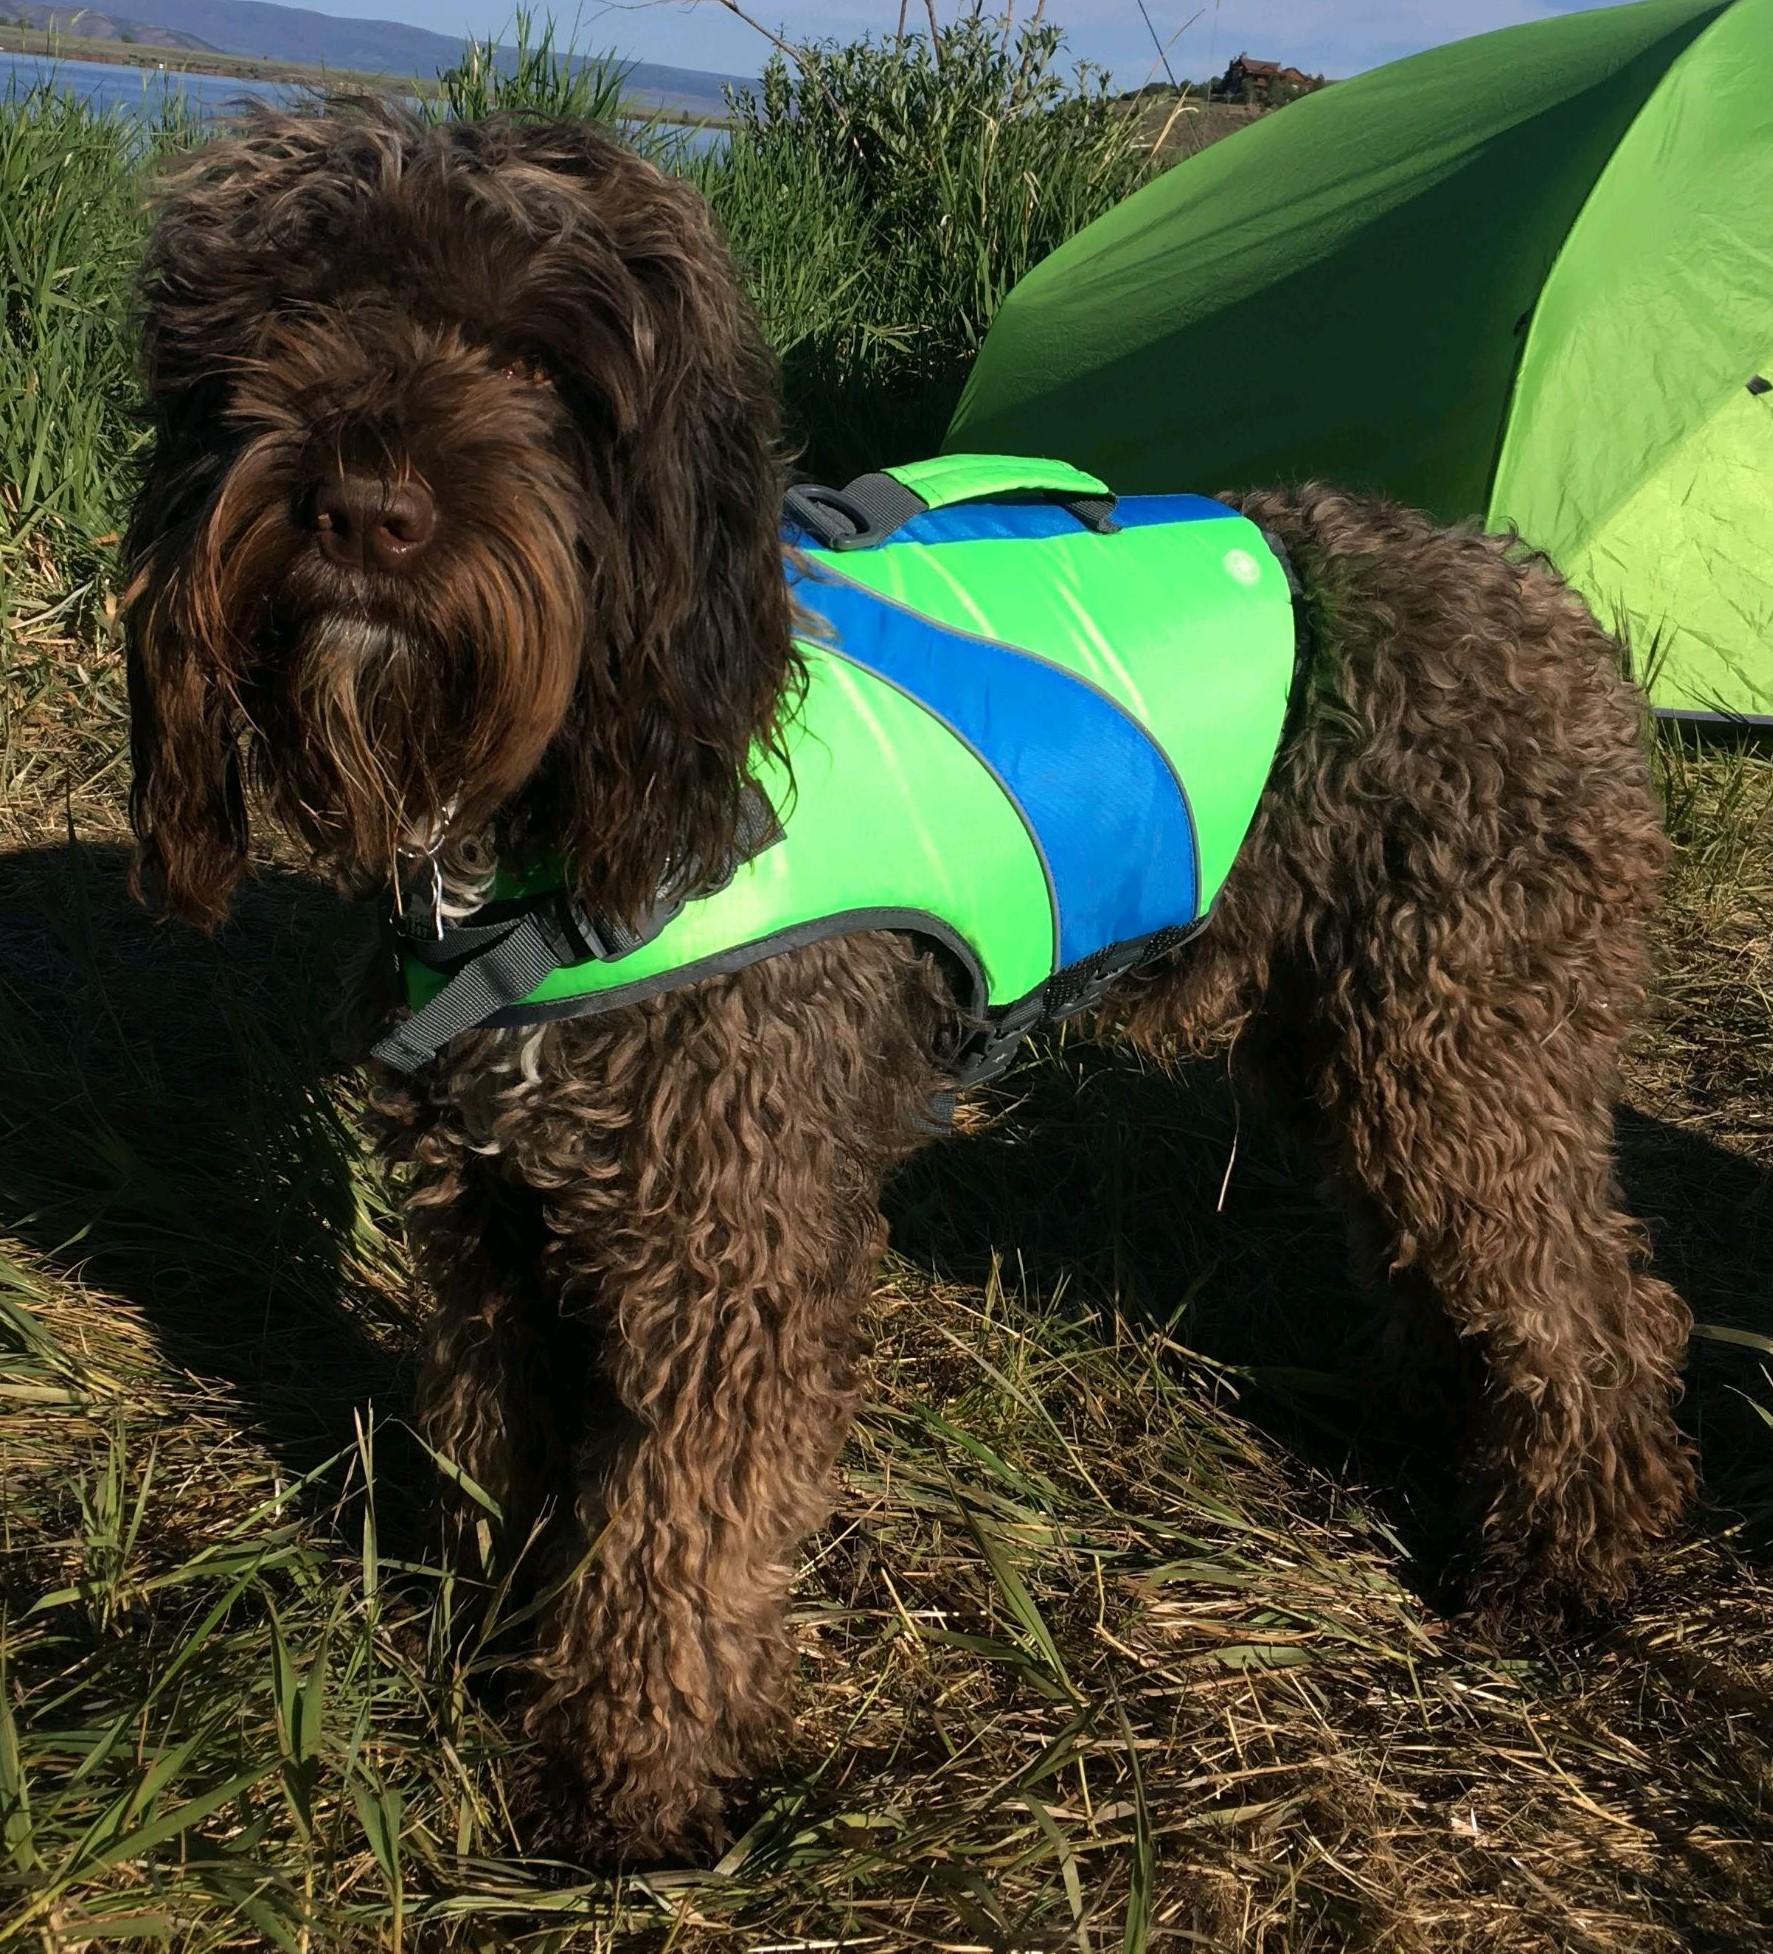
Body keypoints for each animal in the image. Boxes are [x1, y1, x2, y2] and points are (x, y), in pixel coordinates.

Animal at [123, 102, 1695, 1860]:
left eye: (538, 360)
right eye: (293, 320)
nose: (361, 511)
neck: (556, 803)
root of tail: (1552, 606)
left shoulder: (728, 1243)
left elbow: (678, 1530)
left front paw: (635, 1777)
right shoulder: (488, 1211)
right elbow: (498, 1443)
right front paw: (490, 1639)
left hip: (1461, 1045)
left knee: (1596, 1301)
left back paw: (1561, 1558)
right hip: (1361, 1051)